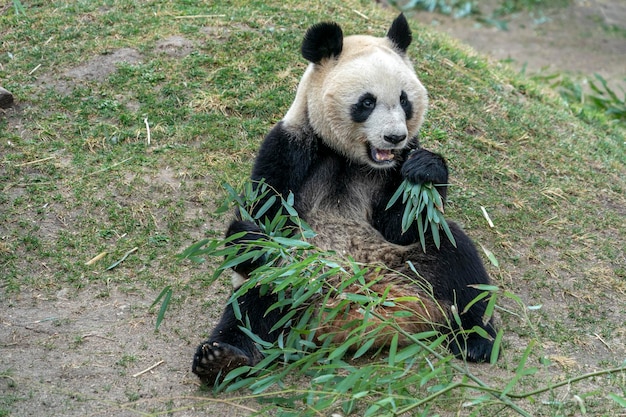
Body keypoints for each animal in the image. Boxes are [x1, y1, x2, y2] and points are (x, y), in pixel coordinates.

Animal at [193, 13, 494, 384]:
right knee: (257, 298)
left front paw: (426, 169)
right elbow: (264, 215)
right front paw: (250, 233)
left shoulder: (396, 166)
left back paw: (475, 340)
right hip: (295, 278)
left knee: (456, 258)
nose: (394, 137)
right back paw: (222, 358)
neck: (350, 158)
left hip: (408, 263)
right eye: (367, 102)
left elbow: (403, 222)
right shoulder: (291, 146)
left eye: (404, 100)